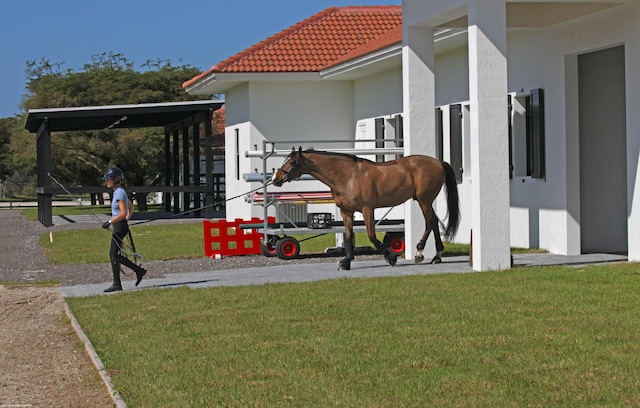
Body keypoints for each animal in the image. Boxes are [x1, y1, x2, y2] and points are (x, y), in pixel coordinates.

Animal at [272, 147, 460, 270]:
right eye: (286, 160)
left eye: (293, 161)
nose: (276, 178)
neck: (348, 176)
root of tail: (438, 162)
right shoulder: (346, 212)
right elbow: (348, 236)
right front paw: (346, 261)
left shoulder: (367, 209)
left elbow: (371, 235)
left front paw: (391, 257)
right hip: (426, 201)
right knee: (434, 222)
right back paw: (436, 256)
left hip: (424, 200)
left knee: (430, 222)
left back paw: (421, 253)